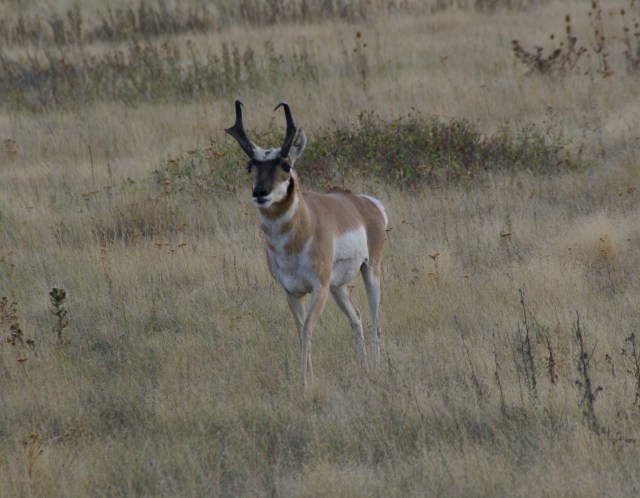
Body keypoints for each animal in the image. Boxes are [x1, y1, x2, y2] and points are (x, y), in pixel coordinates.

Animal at [225, 100, 388, 389]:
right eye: (249, 166)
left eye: (286, 165)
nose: (260, 192)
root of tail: (365, 203)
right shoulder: (292, 292)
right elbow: (300, 329)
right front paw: (308, 378)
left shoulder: (317, 289)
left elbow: (308, 328)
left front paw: (303, 384)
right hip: (338, 287)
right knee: (356, 318)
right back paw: (362, 367)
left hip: (370, 271)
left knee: (373, 320)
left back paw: (377, 370)